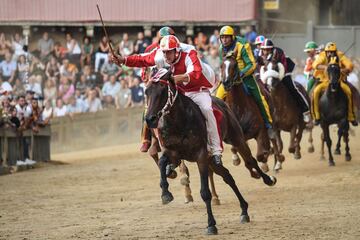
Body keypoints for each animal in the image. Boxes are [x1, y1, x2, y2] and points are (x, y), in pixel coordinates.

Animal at [144, 68, 276, 234]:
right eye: (146, 91)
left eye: (162, 89)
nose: (150, 119)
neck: (179, 121)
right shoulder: (173, 152)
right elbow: (162, 163)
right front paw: (166, 193)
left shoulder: (200, 155)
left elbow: (205, 192)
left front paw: (211, 224)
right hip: (212, 160)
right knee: (227, 176)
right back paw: (244, 211)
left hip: (236, 138)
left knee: (250, 160)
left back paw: (268, 180)